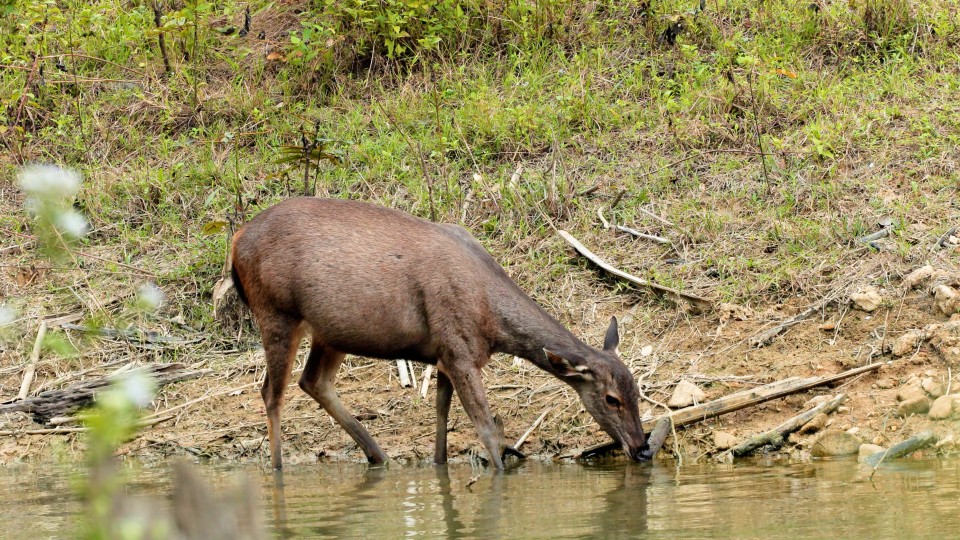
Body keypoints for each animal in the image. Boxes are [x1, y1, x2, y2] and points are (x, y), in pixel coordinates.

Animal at [232, 197, 652, 468]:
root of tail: (235, 243)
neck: (491, 321)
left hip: (332, 331)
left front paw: (439, 468)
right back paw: (278, 470)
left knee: (313, 380)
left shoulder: (444, 355)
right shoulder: (459, 351)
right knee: (272, 391)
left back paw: (379, 457)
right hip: (276, 312)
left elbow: (441, 421)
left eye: (638, 390)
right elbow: (486, 429)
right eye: (612, 399)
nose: (643, 448)